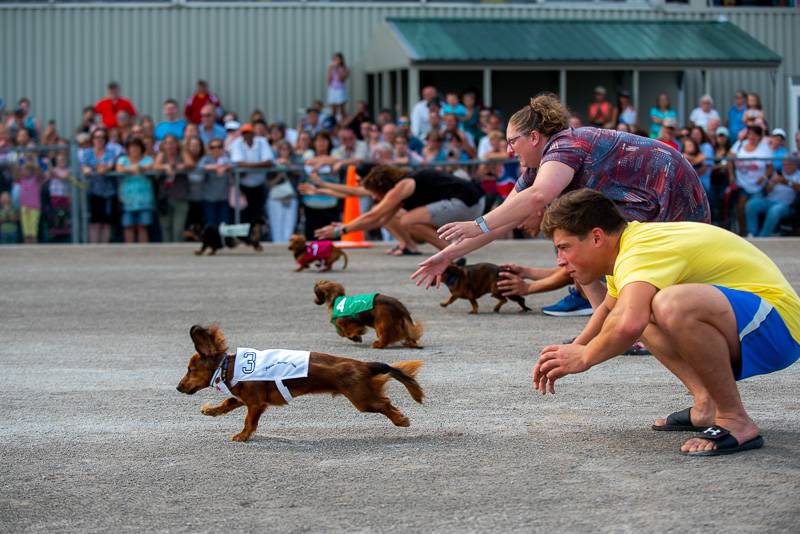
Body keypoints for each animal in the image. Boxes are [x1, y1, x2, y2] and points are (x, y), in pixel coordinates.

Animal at [176, 326, 424, 444]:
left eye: (190, 370)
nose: (178, 387)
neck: (229, 367)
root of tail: (363, 364)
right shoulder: (243, 397)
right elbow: (227, 403)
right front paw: (211, 410)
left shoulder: (255, 403)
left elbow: (249, 421)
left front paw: (243, 436)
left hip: (362, 400)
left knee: (385, 404)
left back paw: (400, 420)